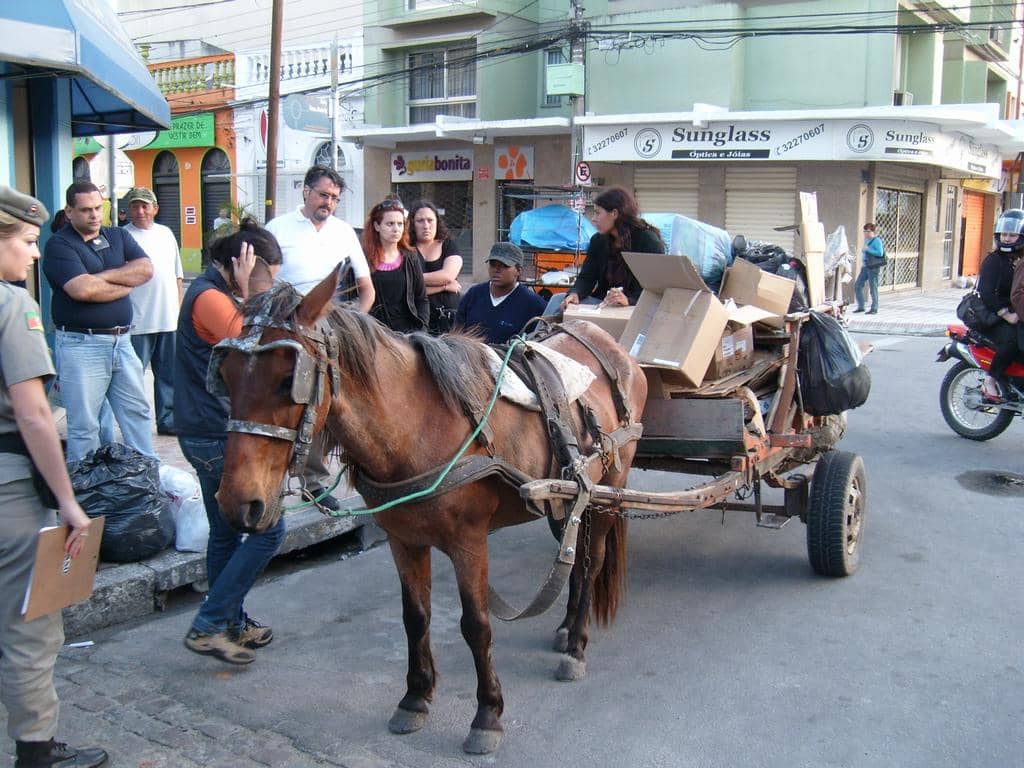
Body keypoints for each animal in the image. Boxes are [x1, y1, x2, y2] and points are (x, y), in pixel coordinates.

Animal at [214, 268, 647, 753]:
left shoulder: (469, 542)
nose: (237, 503)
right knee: (573, 557)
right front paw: (415, 698)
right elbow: (415, 617)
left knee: (591, 564)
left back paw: (576, 647)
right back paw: (568, 626)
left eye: (289, 377)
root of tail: (610, 345)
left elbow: (476, 624)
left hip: (612, 485)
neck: (416, 425)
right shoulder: (404, 541)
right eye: (224, 374)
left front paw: (487, 715)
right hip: (569, 500)